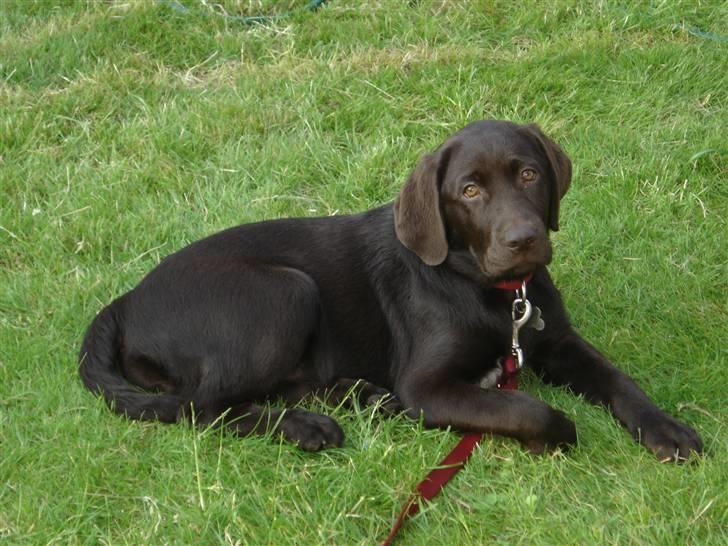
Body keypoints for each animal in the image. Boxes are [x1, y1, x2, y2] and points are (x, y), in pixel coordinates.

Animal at [78, 120, 700, 460]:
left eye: (529, 174)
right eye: (470, 190)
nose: (524, 239)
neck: (493, 294)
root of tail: (125, 302)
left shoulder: (557, 342)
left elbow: (618, 380)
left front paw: (667, 429)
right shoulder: (428, 385)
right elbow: (525, 407)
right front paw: (558, 433)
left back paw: (363, 397)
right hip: (286, 292)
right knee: (201, 407)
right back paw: (308, 426)